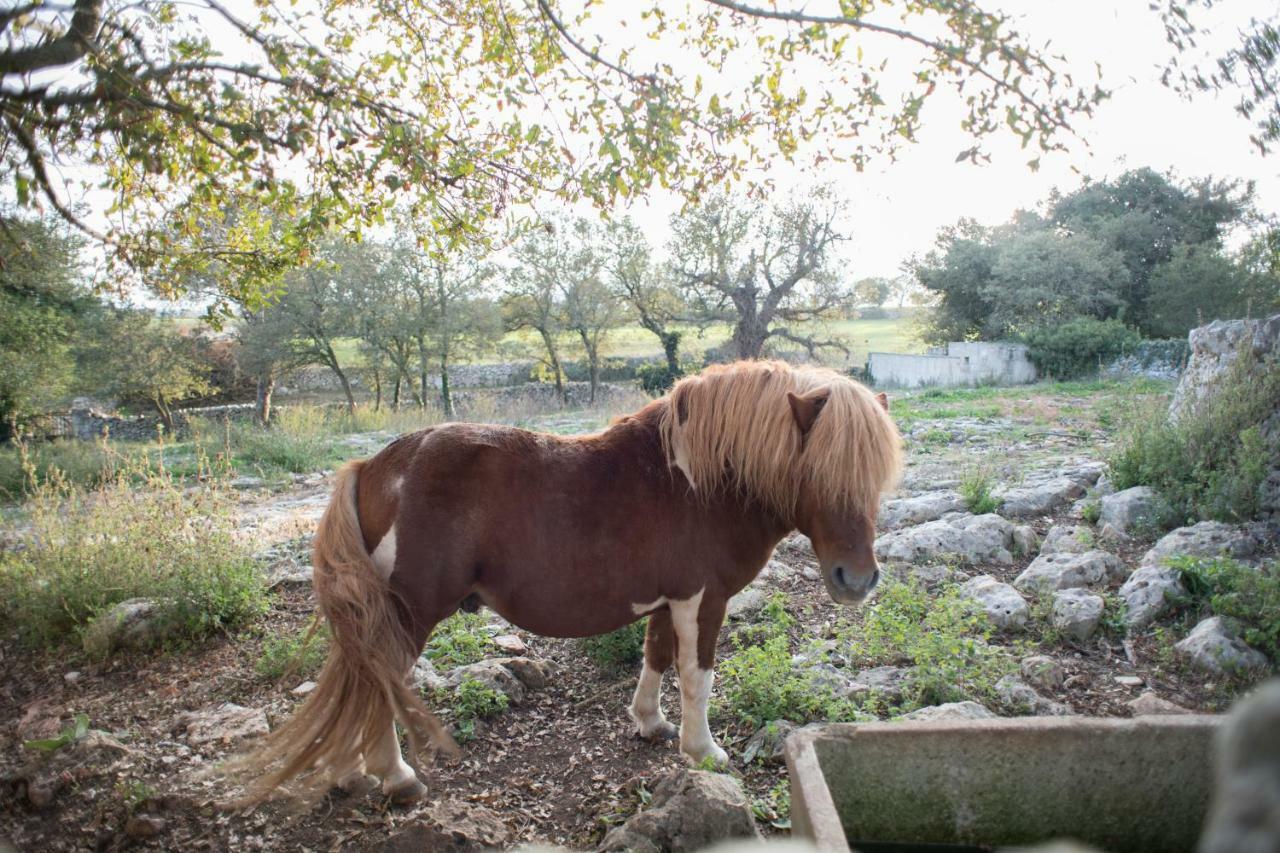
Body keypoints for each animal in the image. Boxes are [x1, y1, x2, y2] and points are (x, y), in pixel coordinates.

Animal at [238, 358, 901, 804]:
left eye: (874, 475)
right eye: (816, 471)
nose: (857, 579)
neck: (700, 481)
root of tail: (375, 466)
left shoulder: (666, 600)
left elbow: (656, 657)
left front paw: (650, 724)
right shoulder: (702, 600)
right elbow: (697, 677)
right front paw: (704, 752)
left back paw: (355, 769)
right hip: (409, 615)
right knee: (379, 681)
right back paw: (397, 777)